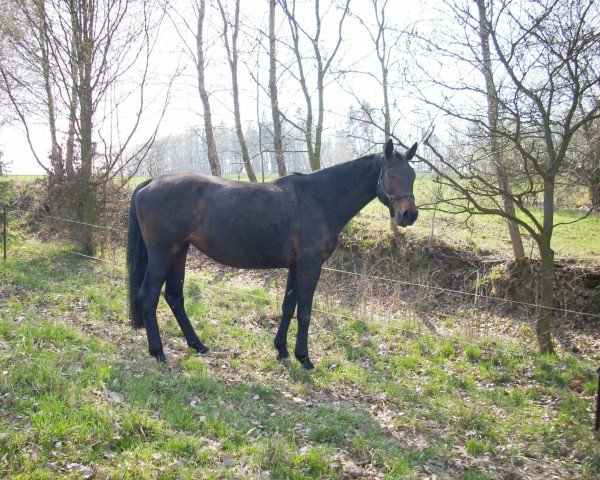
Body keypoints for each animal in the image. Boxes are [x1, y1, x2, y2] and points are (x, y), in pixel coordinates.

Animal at [126, 137, 418, 370]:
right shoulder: (311, 265)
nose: (409, 215)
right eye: (391, 175)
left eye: (413, 175)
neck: (319, 198)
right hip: (162, 254)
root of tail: (150, 183)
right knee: (148, 296)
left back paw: (198, 345)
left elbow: (288, 306)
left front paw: (282, 350)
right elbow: (305, 312)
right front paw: (304, 358)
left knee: (175, 297)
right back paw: (158, 352)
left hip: (179, 252)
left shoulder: (296, 266)